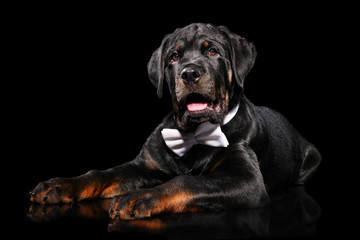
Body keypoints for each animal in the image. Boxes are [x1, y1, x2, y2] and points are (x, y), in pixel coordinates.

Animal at [28, 23, 320, 219]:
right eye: (174, 56)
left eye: (213, 52)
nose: (189, 73)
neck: (193, 134)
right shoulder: (145, 165)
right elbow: (103, 174)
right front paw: (60, 185)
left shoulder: (247, 180)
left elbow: (187, 181)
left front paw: (140, 196)